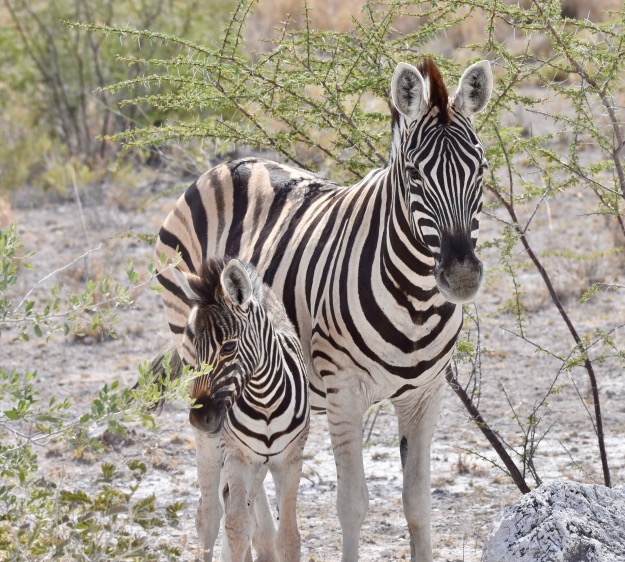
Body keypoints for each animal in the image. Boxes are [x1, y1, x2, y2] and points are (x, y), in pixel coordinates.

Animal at [171, 258, 310, 560]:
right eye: (196, 349)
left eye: (229, 347)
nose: (199, 418)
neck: (264, 399)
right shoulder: (238, 456)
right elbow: (236, 527)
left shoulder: (290, 459)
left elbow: (289, 537)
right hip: (211, 450)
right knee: (209, 516)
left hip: (259, 464)